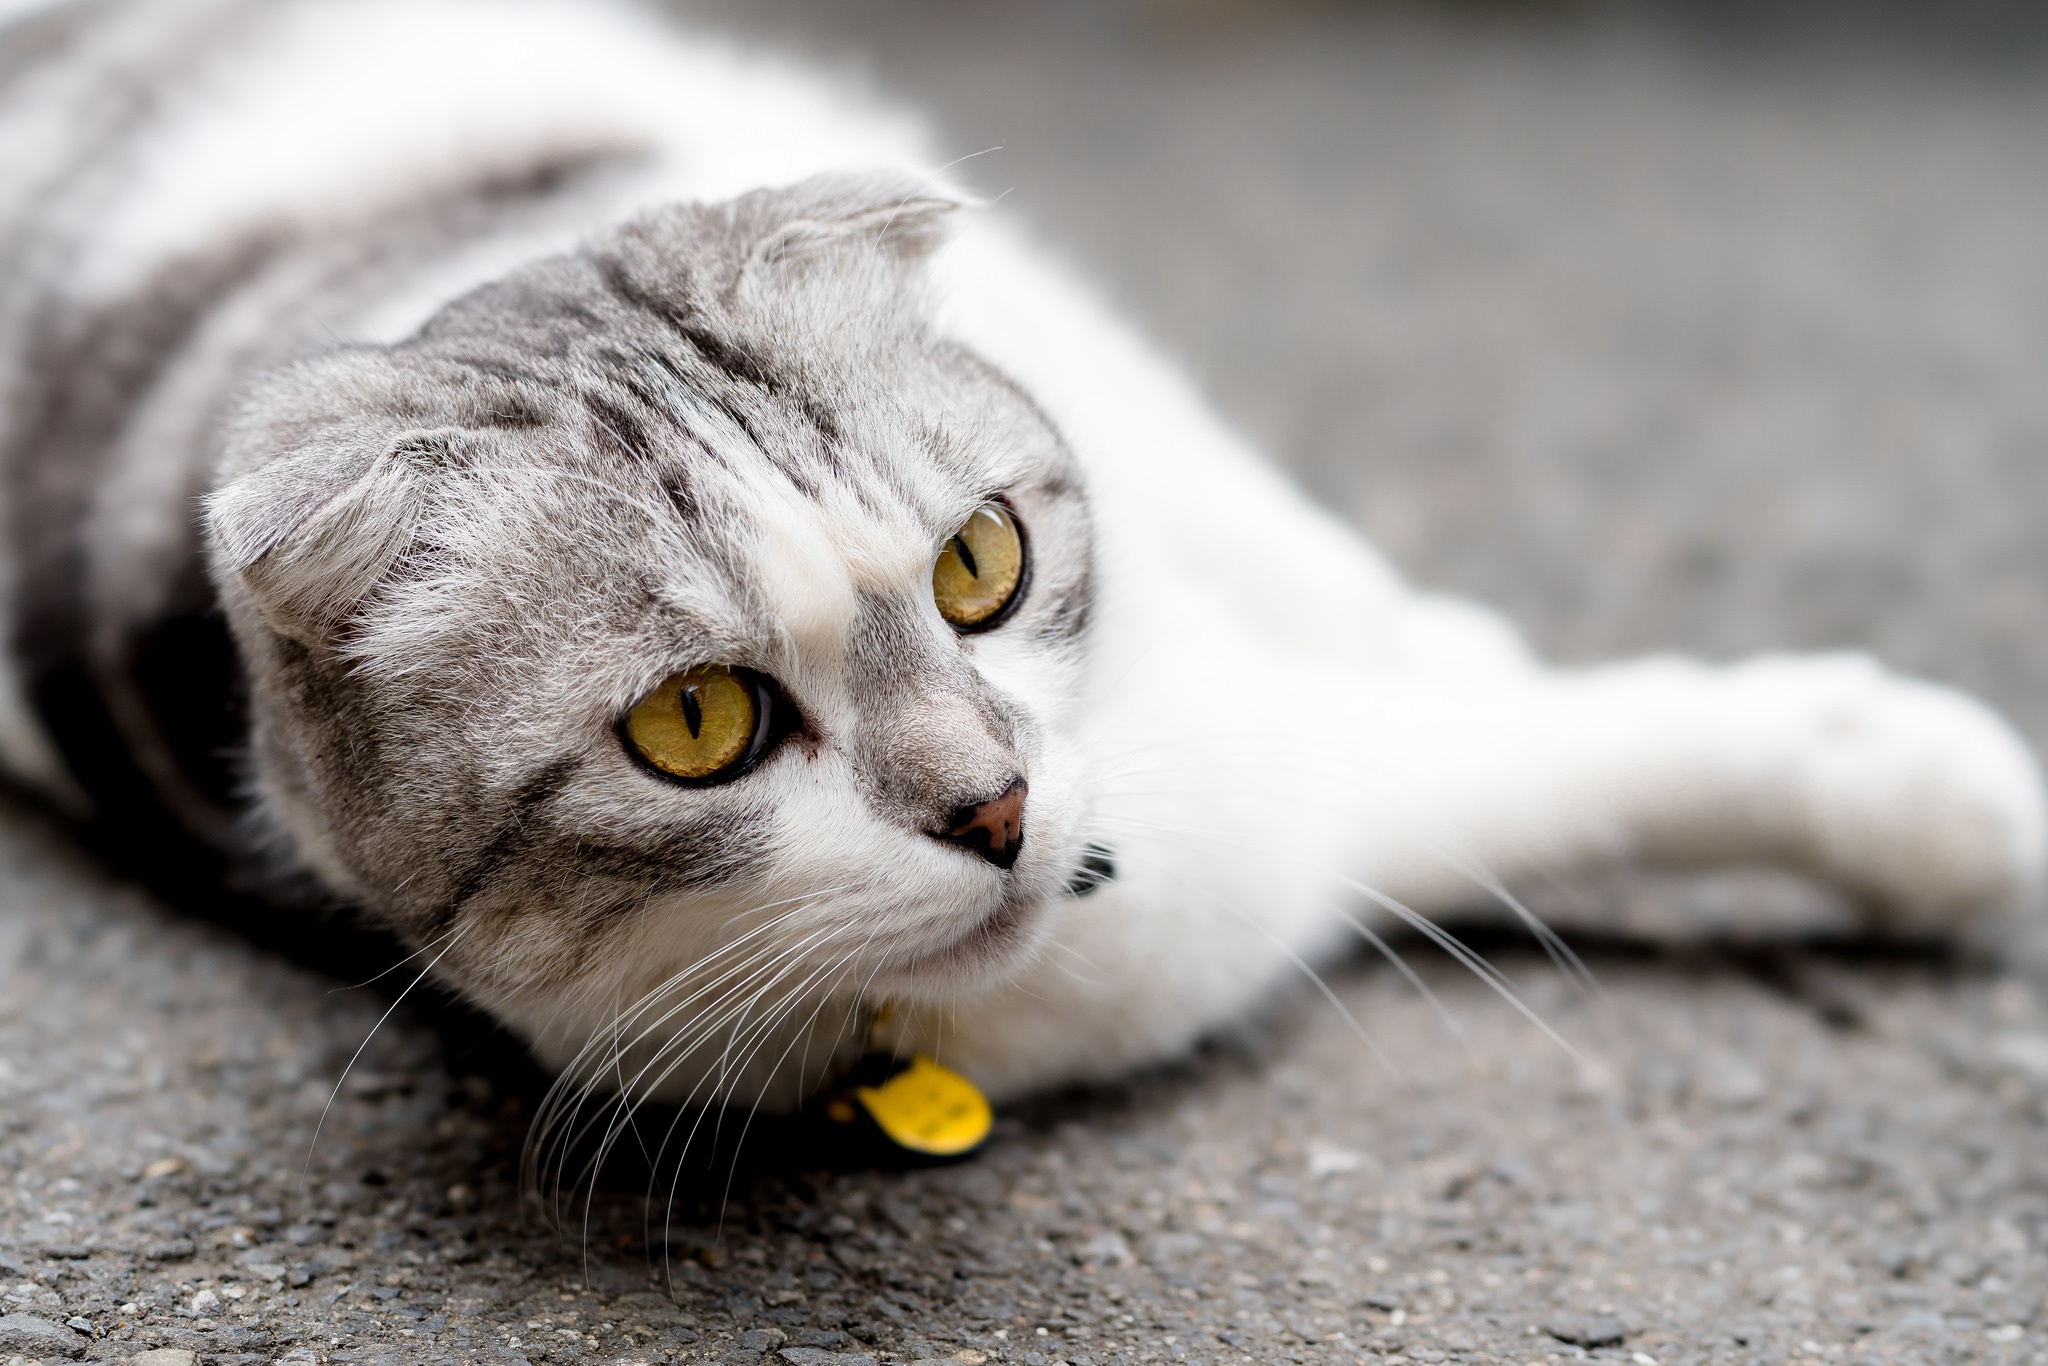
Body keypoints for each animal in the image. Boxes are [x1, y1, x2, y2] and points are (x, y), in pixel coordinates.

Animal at [0, 0, 2039, 1146]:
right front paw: (1928, 797)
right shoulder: (1297, 826)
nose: (994, 804)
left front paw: (1448, 632)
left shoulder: (1100, 377)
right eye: (696, 724)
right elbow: (1562, 767)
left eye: (982, 562)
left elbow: (1324, 567)